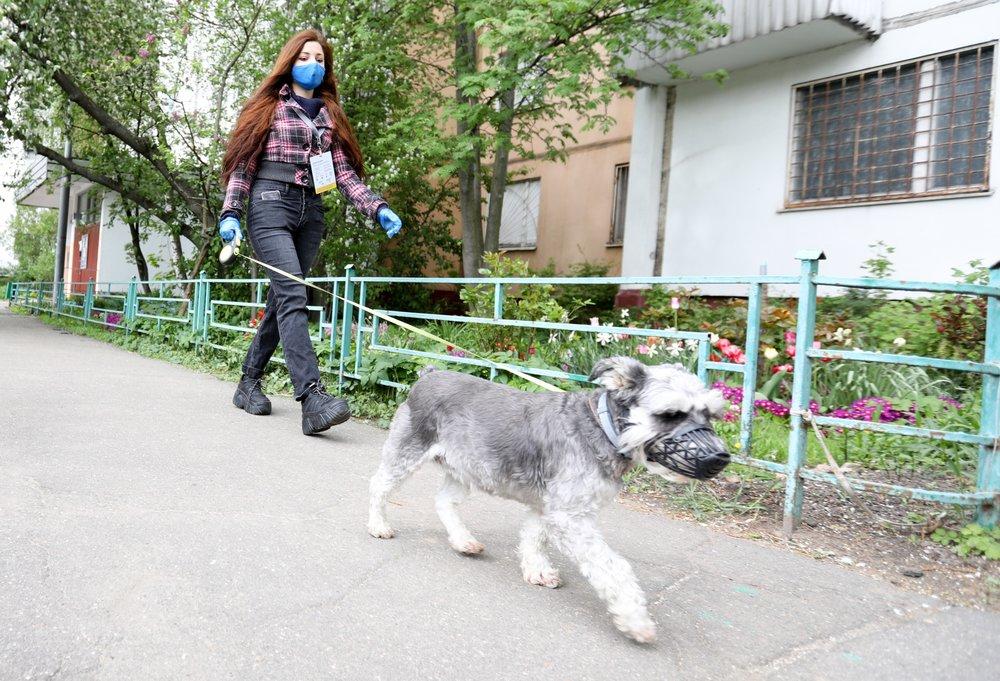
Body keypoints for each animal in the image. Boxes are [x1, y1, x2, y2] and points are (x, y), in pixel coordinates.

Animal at [366, 356, 728, 644]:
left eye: (710, 414)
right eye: (670, 414)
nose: (719, 459)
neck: (602, 428)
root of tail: (428, 375)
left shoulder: (549, 507)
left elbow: (534, 538)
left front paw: (537, 570)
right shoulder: (571, 516)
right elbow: (614, 568)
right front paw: (635, 620)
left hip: (466, 470)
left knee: (443, 501)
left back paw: (463, 540)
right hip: (406, 454)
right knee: (379, 486)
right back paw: (378, 525)